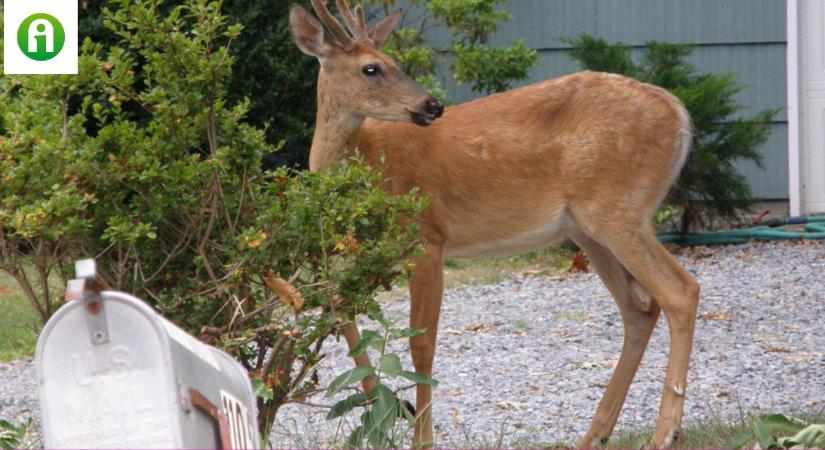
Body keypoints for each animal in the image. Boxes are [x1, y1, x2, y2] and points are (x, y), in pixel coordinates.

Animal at [286, 1, 700, 448]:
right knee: (639, 310)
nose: (432, 105)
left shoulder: (428, 236)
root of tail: (680, 114)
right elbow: (338, 310)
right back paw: (595, 434)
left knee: (680, 291)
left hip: (616, 208)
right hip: (587, 228)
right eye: (371, 68)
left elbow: (422, 346)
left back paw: (665, 432)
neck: (368, 159)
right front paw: (388, 409)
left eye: (392, 61)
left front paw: (420, 437)